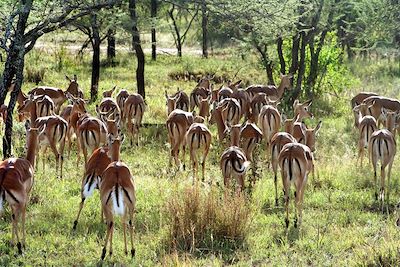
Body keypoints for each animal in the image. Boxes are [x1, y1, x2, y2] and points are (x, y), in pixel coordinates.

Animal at [0, 124, 38, 254]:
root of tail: (5, 172)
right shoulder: (25, 200)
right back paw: (20, 246)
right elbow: (22, 218)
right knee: (18, 218)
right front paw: (23, 243)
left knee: (13, 217)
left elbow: (13, 218)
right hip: (21, 202)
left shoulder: (12, 203)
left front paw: (12, 243)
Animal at [100, 134, 136, 262]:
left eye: (108, 143)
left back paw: (104, 253)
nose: (106, 152)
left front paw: (111, 252)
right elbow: (124, 222)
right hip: (131, 205)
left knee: (110, 223)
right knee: (130, 222)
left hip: (107, 206)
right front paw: (126, 251)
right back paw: (133, 252)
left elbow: (113, 223)